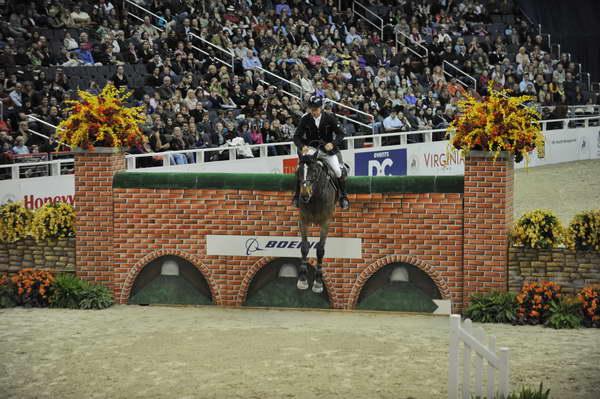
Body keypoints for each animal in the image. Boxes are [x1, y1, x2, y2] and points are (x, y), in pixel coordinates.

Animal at [294, 143, 338, 294]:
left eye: (314, 171)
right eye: (298, 172)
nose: (304, 196)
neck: (314, 198)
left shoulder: (325, 222)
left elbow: (320, 250)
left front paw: (318, 282)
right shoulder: (303, 220)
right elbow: (304, 247)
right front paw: (302, 279)